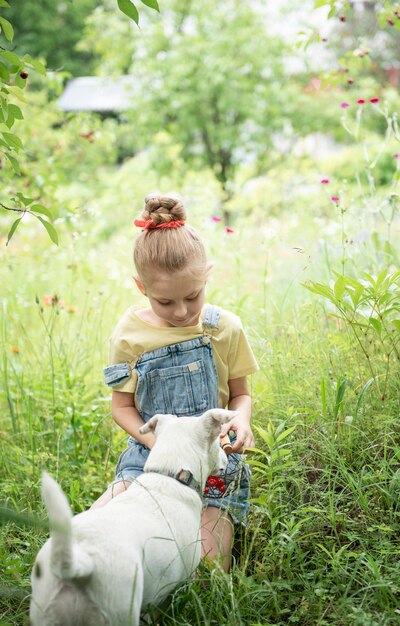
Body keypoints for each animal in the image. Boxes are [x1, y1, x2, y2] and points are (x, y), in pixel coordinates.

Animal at [29, 408, 233, 624]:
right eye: (218, 440)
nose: (228, 457)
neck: (170, 476)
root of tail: (79, 566)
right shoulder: (166, 591)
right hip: (120, 610)